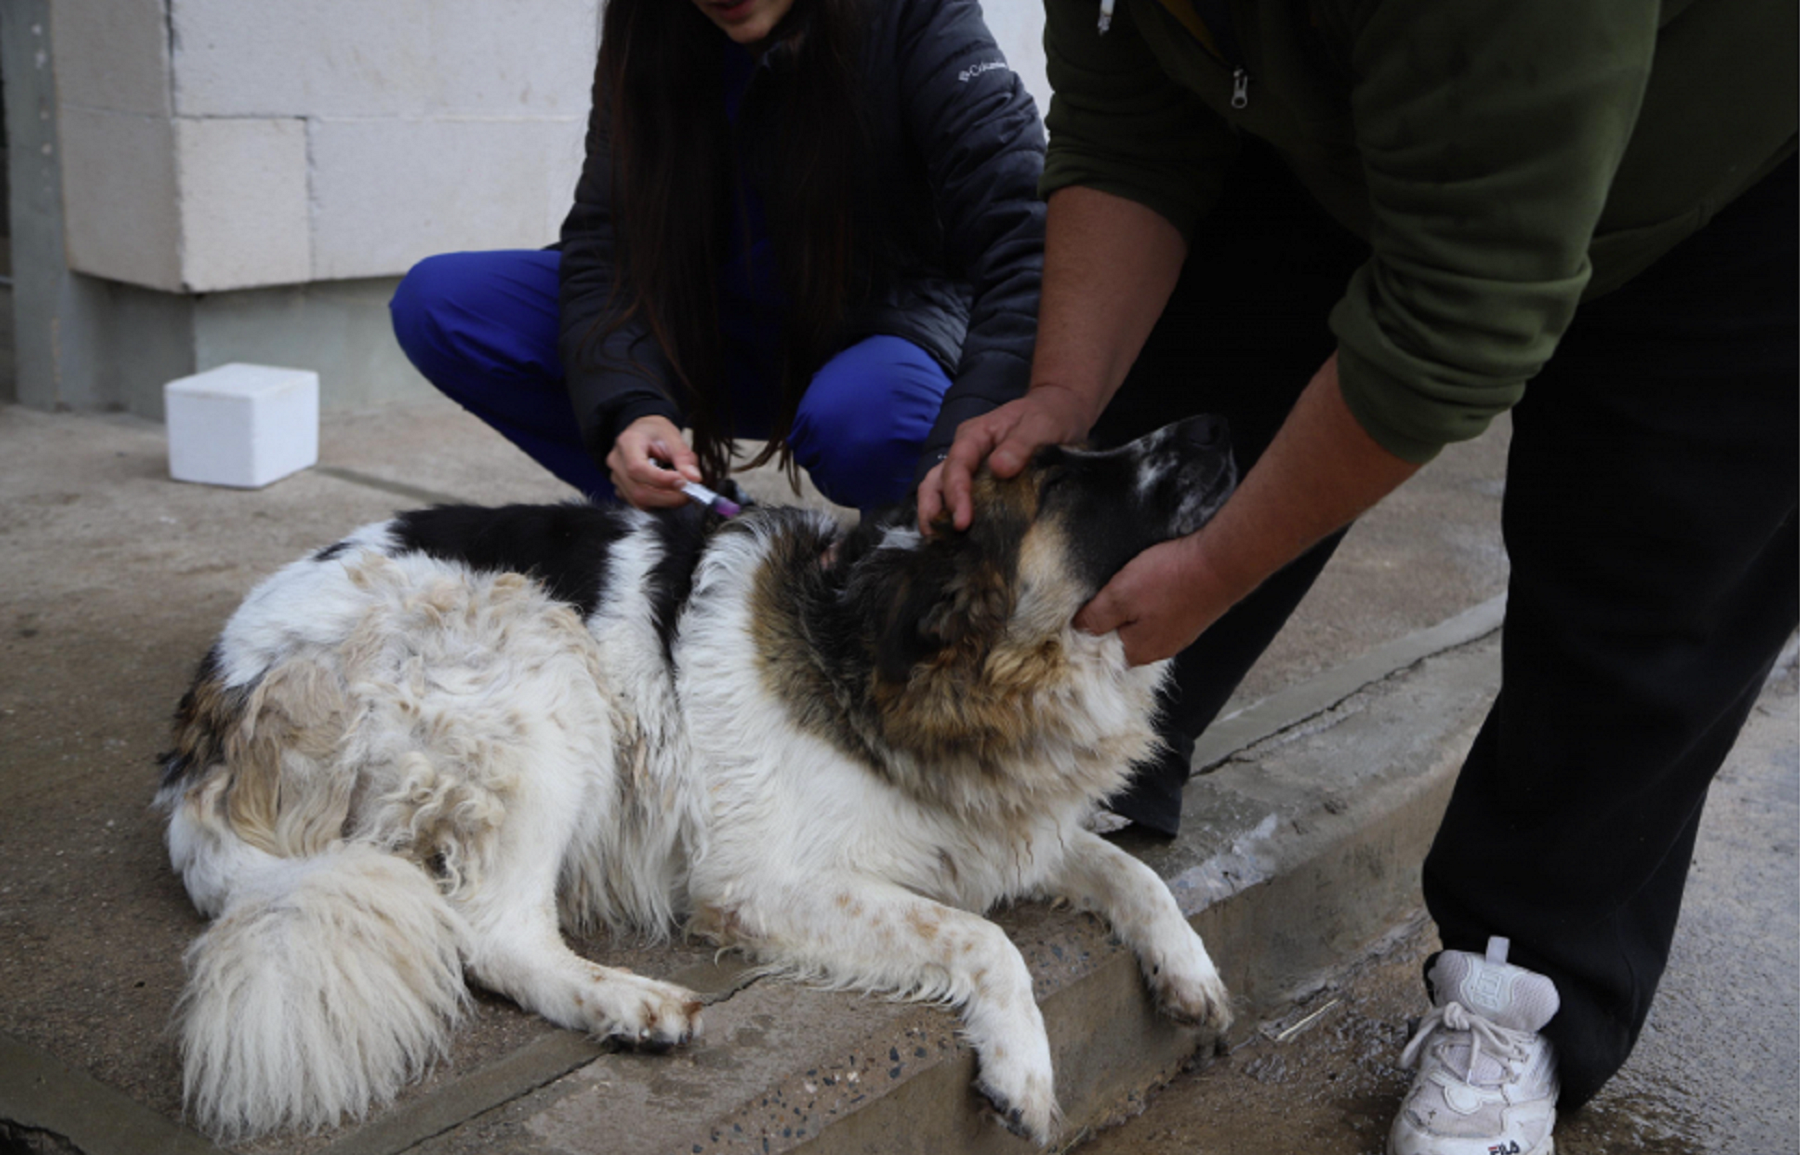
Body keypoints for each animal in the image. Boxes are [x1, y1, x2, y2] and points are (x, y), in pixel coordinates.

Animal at [154, 411, 1238, 1137]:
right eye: (1059, 481)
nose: (1216, 425)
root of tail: (210, 711)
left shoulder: (1008, 828)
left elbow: (1131, 871)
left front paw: (1188, 966)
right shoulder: (762, 883)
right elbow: (983, 937)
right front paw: (1025, 1065)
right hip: (544, 664)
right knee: (492, 931)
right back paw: (626, 1004)